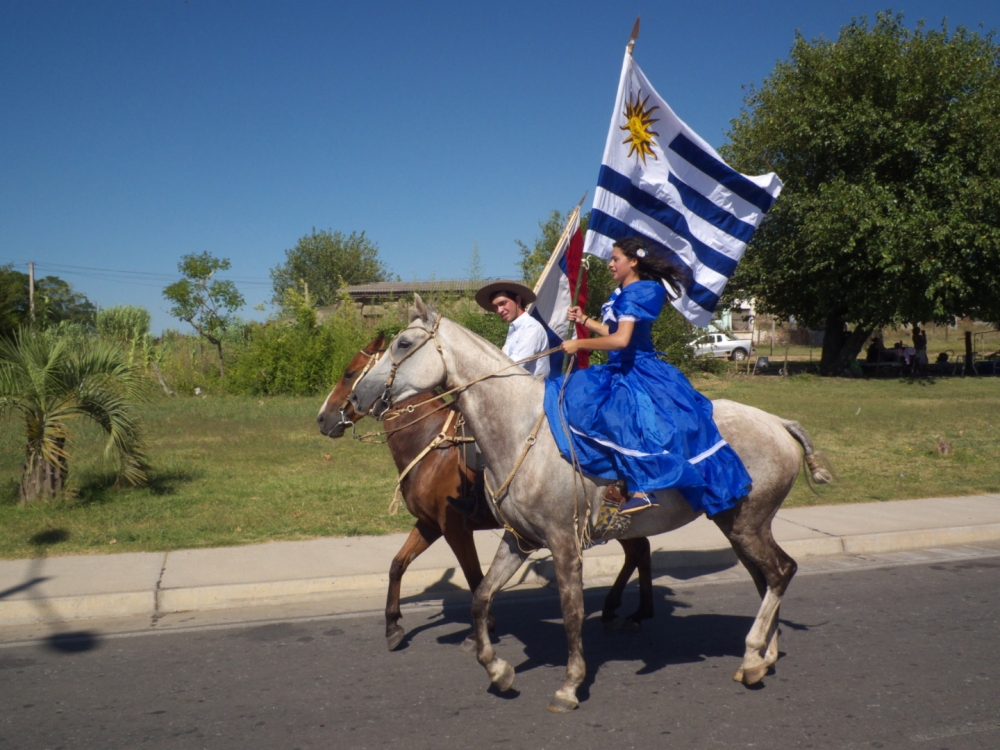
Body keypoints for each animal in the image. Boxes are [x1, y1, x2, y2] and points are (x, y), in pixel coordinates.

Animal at [316, 334, 652, 652]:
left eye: (349, 373)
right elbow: (398, 564)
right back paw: (628, 611)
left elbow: (474, 576)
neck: (429, 447)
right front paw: (392, 626)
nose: (322, 418)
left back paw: (628, 611)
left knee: (638, 549)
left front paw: (482, 628)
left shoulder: (454, 529)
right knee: (640, 549)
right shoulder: (429, 524)